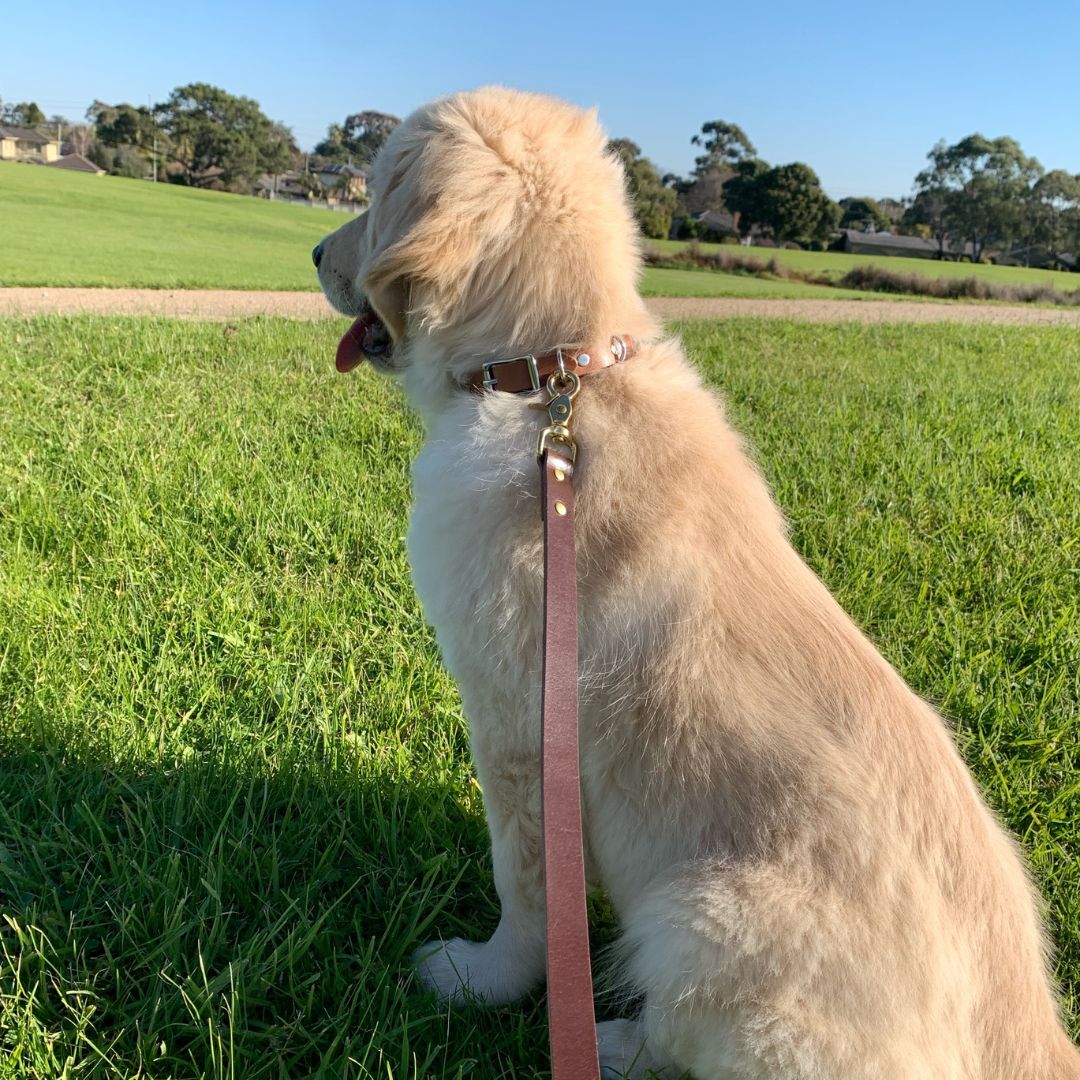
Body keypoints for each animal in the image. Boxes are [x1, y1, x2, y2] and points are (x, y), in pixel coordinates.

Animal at [315, 86, 1080, 1080]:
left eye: (374, 196)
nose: (313, 255)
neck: (547, 379)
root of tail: (1030, 1032)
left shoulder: (517, 727)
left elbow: (522, 881)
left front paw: (483, 980)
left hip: (702, 922)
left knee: (677, 1038)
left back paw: (610, 1038)